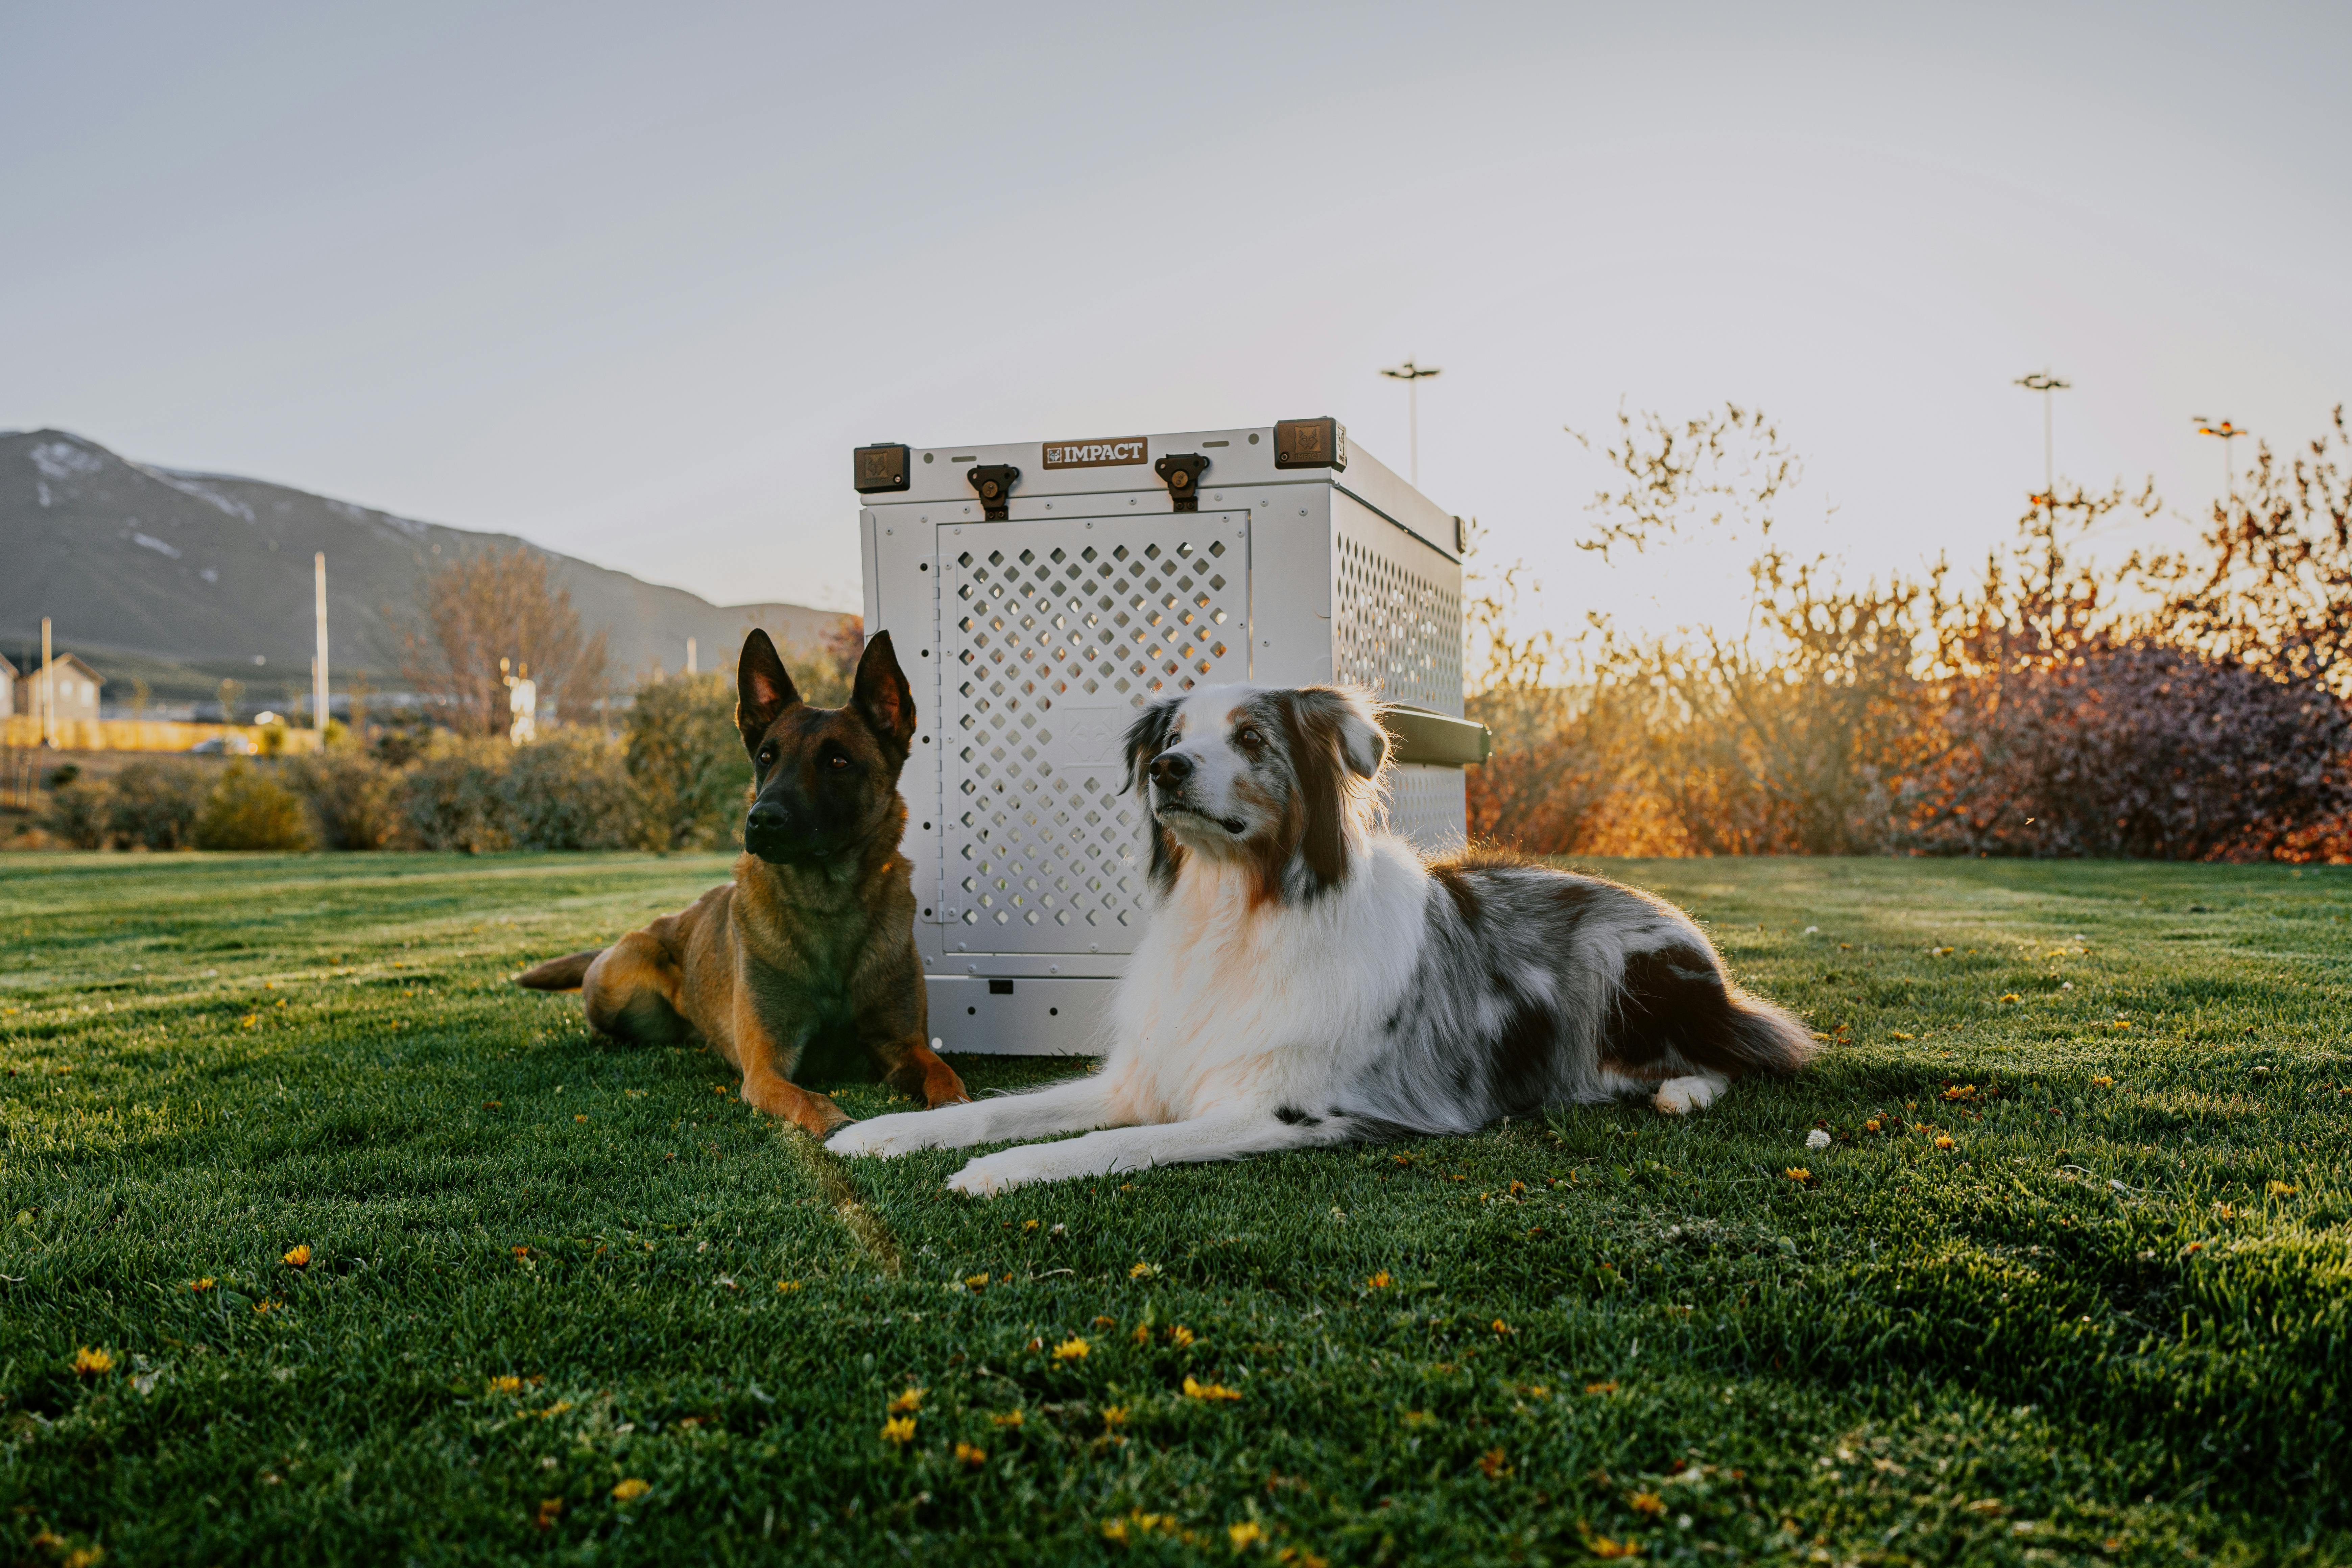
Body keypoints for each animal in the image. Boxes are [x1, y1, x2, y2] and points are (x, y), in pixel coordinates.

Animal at [520, 630, 969, 1142]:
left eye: (838, 761)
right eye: (766, 758)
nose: (763, 819)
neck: (828, 906)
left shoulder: (904, 1045)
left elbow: (945, 1077)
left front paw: (959, 1111)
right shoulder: (766, 1070)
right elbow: (808, 1098)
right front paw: (839, 1126)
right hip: (616, 982)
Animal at [828, 682, 1815, 1194]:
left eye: (1250, 738)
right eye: (1174, 734)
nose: (1164, 768)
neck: (1235, 912)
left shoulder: (1286, 1106)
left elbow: (1120, 1144)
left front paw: (1005, 1170)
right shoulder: (1148, 1073)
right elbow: (994, 1106)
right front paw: (887, 1132)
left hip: (1628, 970)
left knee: (1748, 1050)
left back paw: (1679, 1089)